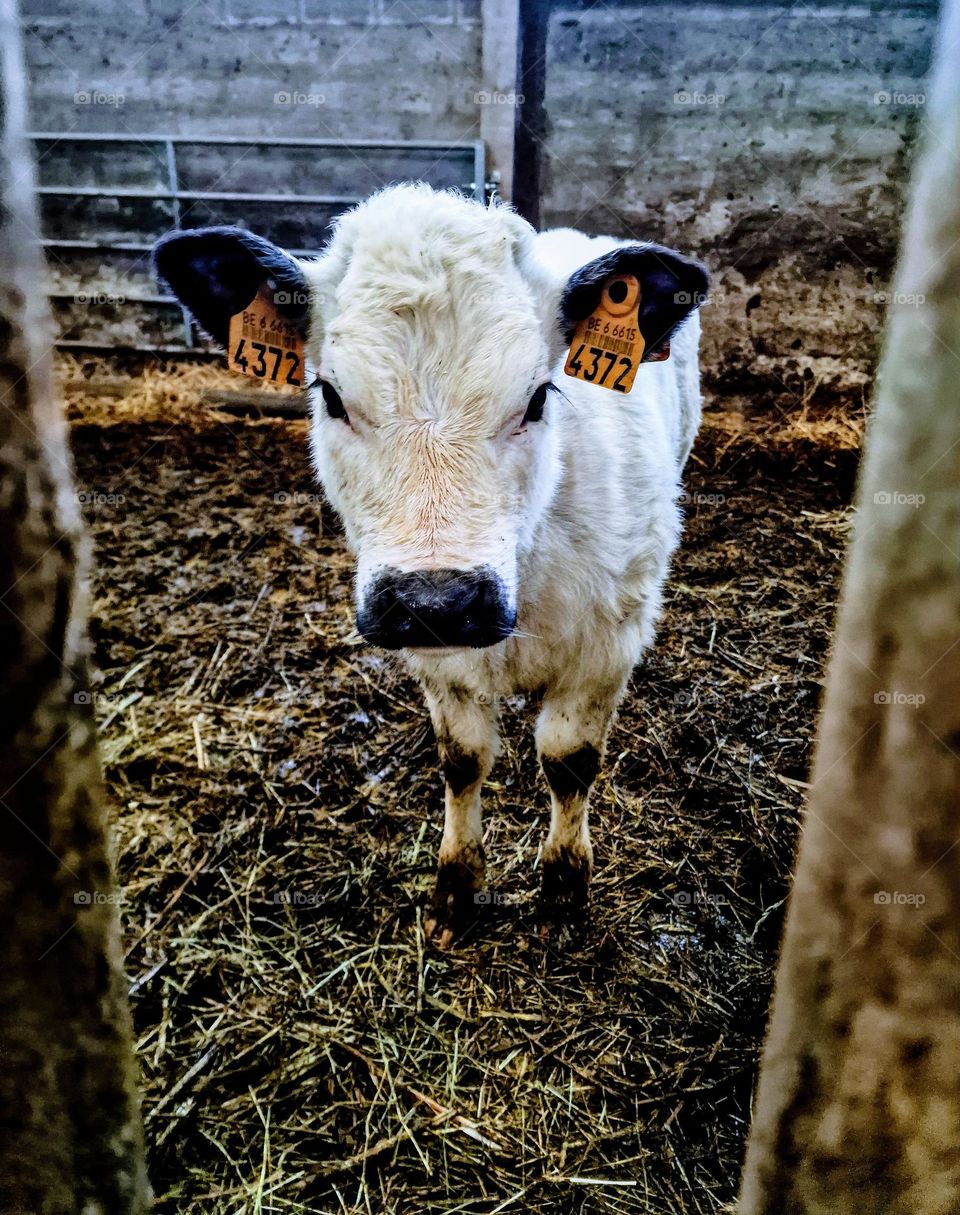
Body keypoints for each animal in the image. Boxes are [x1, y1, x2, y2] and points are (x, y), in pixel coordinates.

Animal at [154, 184, 708, 948]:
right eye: (329, 394)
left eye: (539, 395)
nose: (439, 602)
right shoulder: (438, 662)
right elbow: (463, 760)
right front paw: (456, 887)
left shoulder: (608, 642)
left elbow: (569, 762)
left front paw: (565, 890)